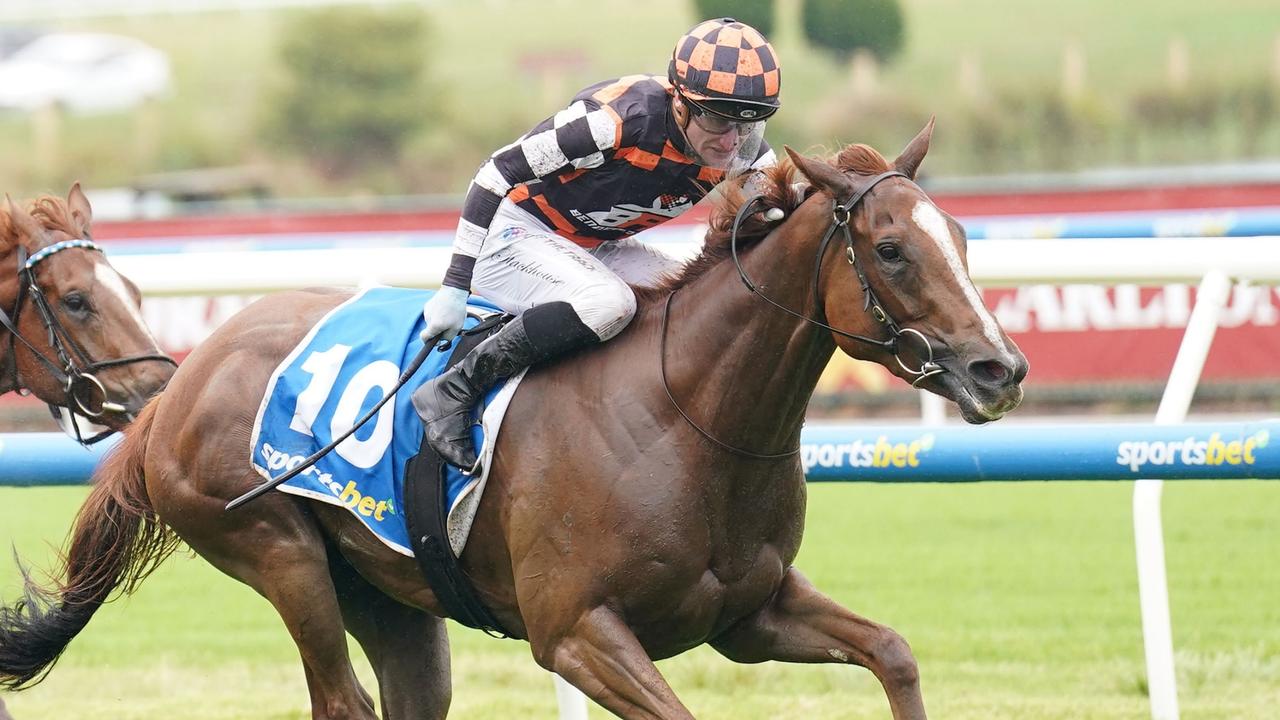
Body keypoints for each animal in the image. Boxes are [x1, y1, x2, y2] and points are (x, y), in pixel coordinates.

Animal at [0, 122, 1018, 712]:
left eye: (964, 238)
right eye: (890, 248)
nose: (998, 369)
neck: (686, 418)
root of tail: (179, 383)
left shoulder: (750, 612)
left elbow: (894, 655)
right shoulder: (576, 634)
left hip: (391, 592)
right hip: (279, 556)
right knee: (339, 697)